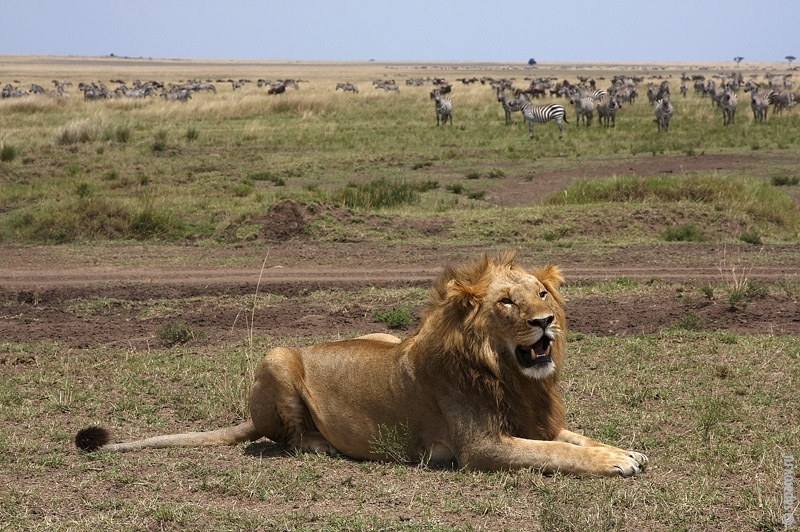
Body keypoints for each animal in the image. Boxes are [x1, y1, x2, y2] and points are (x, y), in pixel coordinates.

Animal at [76, 251, 648, 476]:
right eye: (507, 302)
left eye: (542, 292)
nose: (545, 321)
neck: (510, 375)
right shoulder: (480, 447)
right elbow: (556, 454)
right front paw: (614, 462)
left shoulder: (537, 419)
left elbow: (574, 440)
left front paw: (624, 450)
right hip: (276, 356)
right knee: (288, 437)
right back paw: (322, 444)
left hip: (380, 336)